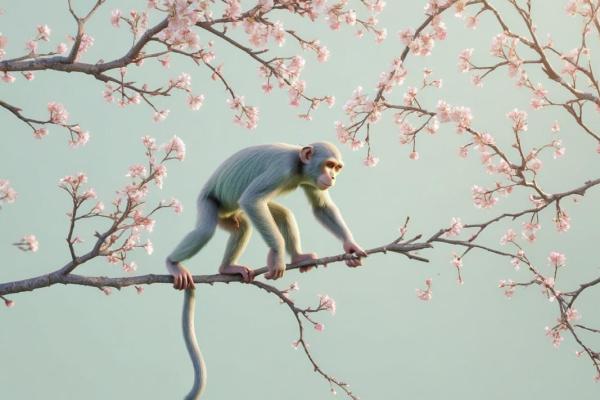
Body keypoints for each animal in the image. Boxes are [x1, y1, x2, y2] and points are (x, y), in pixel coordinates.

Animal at [166, 142, 368, 398]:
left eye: (337, 167)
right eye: (329, 165)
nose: (332, 176)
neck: (299, 167)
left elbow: (321, 207)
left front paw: (350, 247)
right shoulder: (282, 168)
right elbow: (252, 201)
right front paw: (277, 256)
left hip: (229, 215)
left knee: (255, 221)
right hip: (208, 202)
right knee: (210, 228)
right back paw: (173, 264)